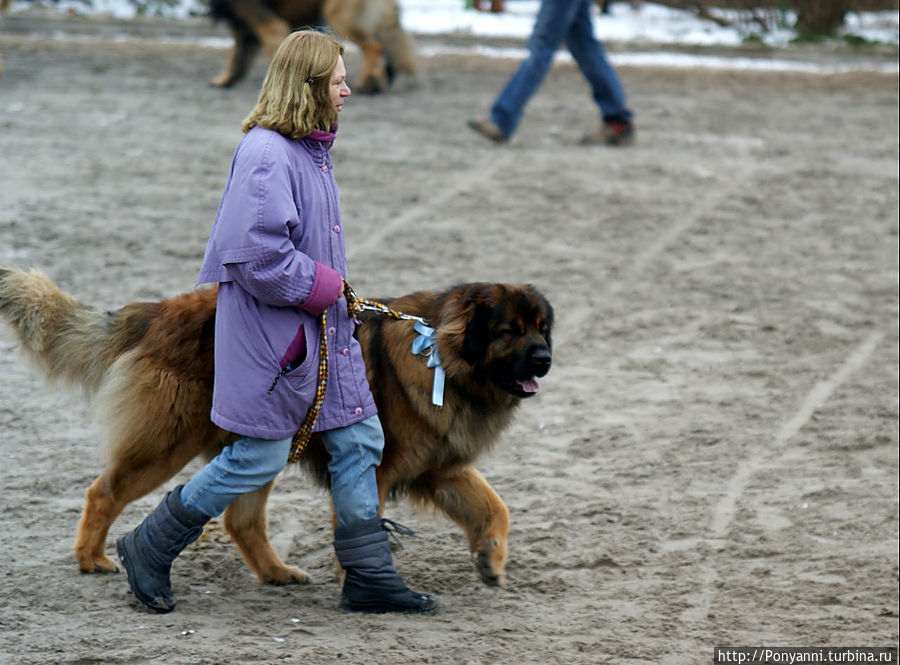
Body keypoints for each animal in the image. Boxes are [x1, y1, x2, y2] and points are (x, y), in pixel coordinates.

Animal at [0, 268, 552, 588]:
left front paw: (490, 560)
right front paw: (365, 580)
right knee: (104, 492)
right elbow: (362, 520)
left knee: (240, 519)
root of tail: (159, 312)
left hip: (257, 444)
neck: (440, 354)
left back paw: (276, 573)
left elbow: (494, 508)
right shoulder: (375, 469)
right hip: (167, 445)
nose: (545, 359)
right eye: (509, 331)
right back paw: (92, 558)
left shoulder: (441, 468)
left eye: (542, 328)